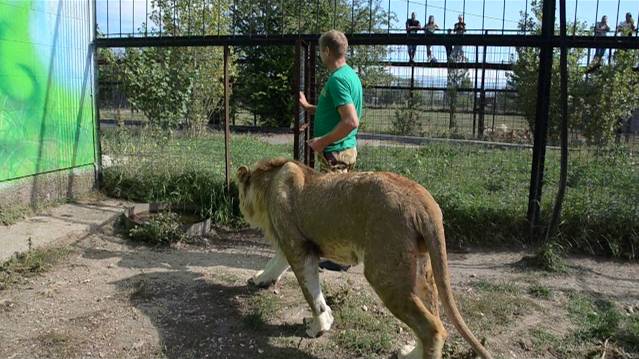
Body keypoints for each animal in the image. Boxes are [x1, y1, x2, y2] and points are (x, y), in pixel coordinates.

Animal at [238, 159, 492, 358]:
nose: (241, 208)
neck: (270, 181)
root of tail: (423, 199)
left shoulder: (298, 247)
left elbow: (310, 292)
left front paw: (319, 325)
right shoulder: (290, 243)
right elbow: (276, 264)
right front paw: (260, 279)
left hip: (385, 274)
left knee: (432, 328)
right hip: (421, 270)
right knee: (434, 318)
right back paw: (410, 353)